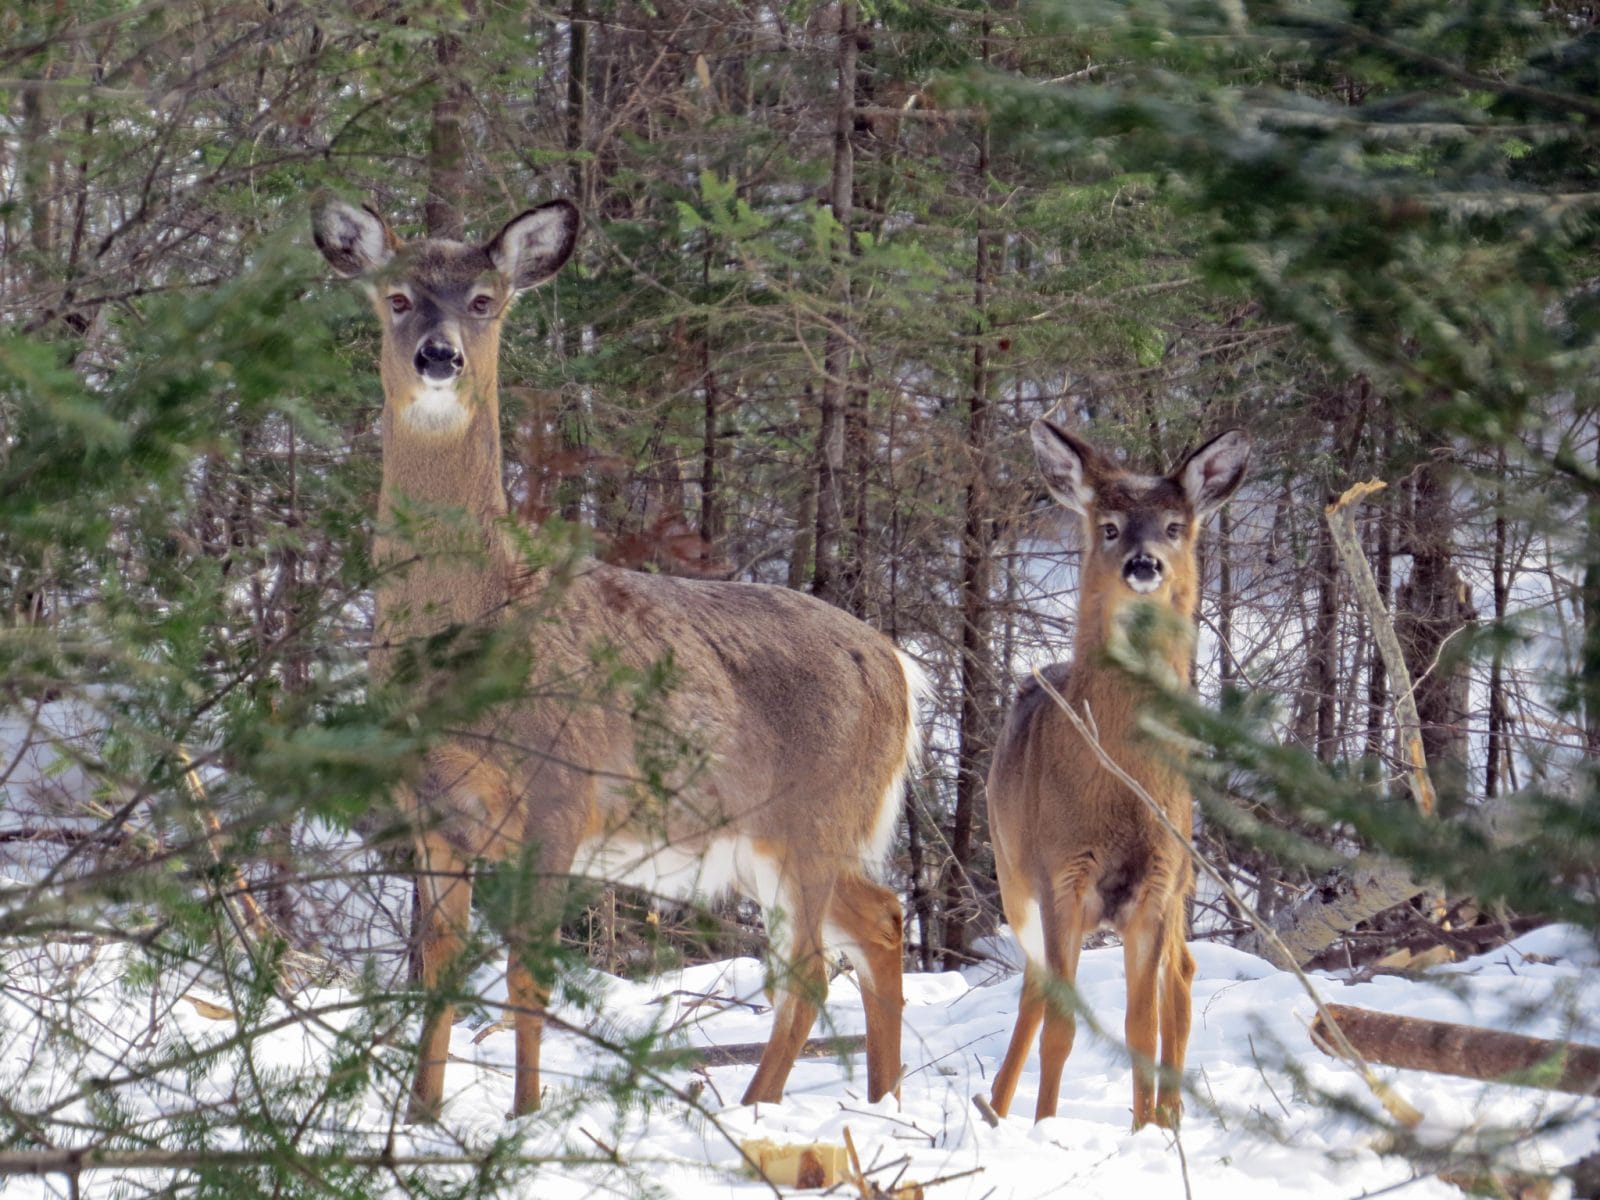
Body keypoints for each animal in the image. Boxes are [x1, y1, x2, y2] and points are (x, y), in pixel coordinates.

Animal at [311, 193, 921, 1120]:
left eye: (485, 299)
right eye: (398, 296)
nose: (440, 356)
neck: (477, 623)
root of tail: (897, 667)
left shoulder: (563, 789)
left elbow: (526, 975)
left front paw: (524, 1116)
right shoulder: (433, 811)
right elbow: (438, 971)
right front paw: (420, 1115)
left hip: (812, 818)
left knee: (811, 972)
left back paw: (754, 1110)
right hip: (790, 836)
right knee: (882, 921)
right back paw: (882, 1104)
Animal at [985, 420, 1248, 1128]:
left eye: (1175, 526)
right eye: (1108, 526)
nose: (1143, 563)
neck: (1119, 786)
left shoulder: (1157, 881)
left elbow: (1141, 1025)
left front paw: (1146, 1130)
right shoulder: (1061, 873)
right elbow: (1062, 1026)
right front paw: (1047, 1128)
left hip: (1184, 879)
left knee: (1180, 977)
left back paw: (1171, 1115)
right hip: (1013, 878)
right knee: (1033, 990)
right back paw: (994, 1109)